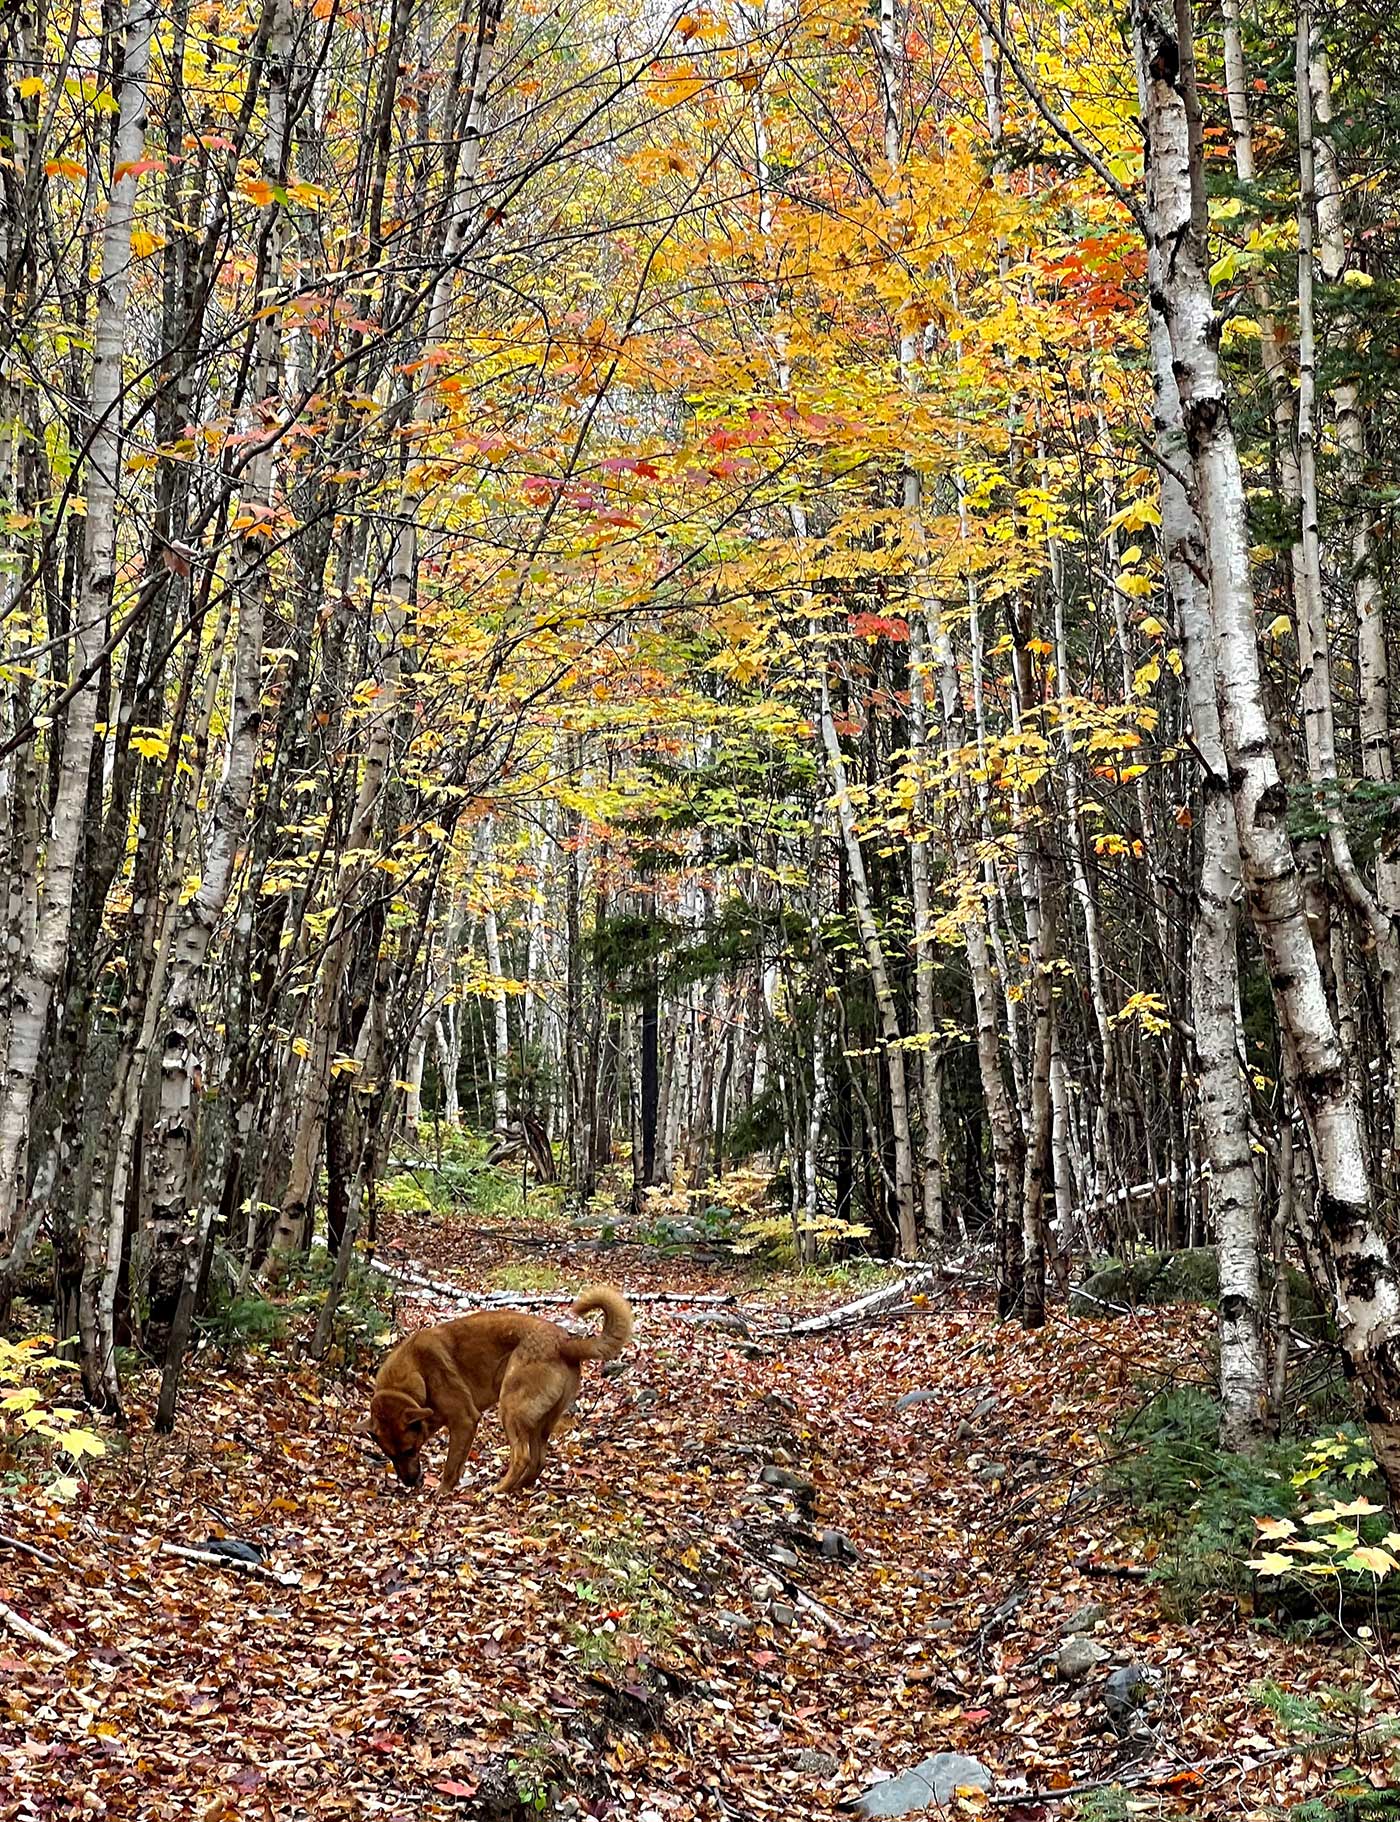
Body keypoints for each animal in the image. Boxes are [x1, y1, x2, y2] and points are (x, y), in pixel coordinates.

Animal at [371, 1282, 634, 1494]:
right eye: (390, 1455)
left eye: (410, 1449)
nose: (409, 1482)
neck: (414, 1373)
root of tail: (565, 1343)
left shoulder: (464, 1420)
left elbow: (451, 1466)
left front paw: (442, 1492)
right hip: (538, 1421)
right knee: (538, 1460)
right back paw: (518, 1487)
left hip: (510, 1410)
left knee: (522, 1457)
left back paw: (499, 1489)